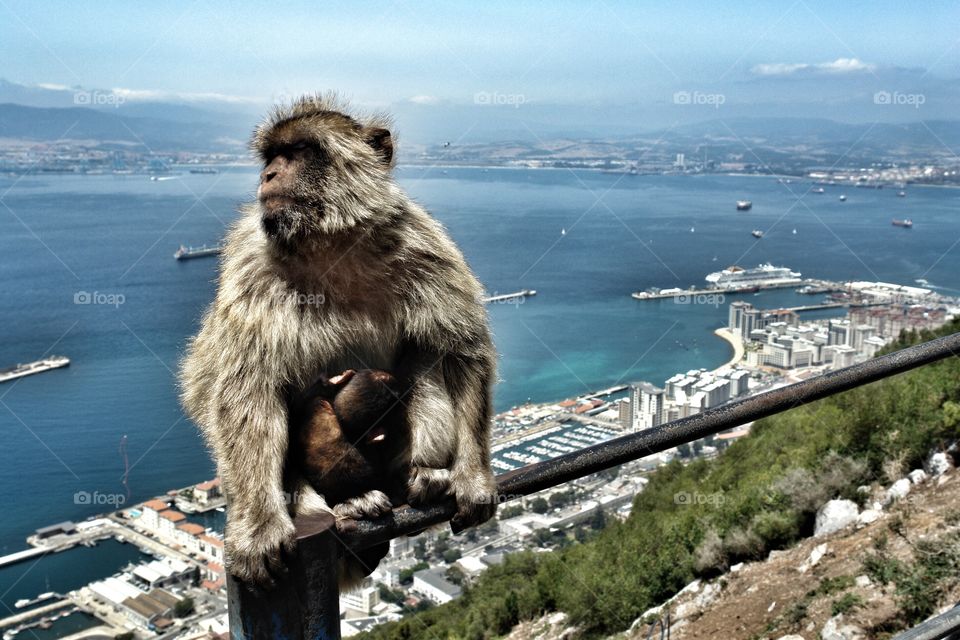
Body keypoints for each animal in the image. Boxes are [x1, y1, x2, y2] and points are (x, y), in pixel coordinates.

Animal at [179, 93, 498, 589]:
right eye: (272, 156)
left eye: (300, 150)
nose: (268, 176)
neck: (332, 242)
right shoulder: (252, 267)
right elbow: (245, 390)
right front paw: (258, 527)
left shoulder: (424, 246)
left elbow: (462, 351)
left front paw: (474, 477)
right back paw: (340, 501)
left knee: (423, 363)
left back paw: (419, 477)